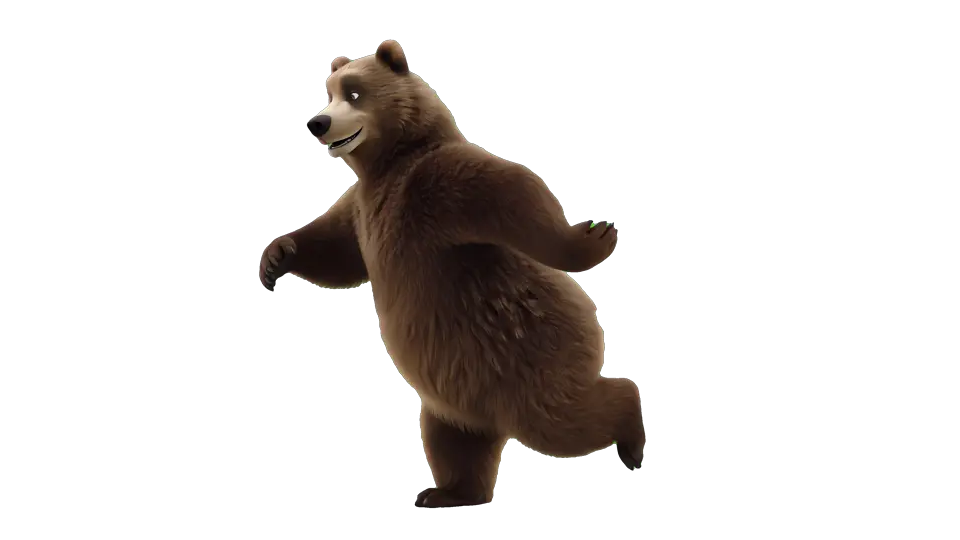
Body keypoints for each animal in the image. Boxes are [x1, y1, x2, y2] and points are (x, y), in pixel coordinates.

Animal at [260, 40, 644, 507]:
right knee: (455, 442)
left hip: (538, 354)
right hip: (456, 385)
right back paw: (446, 493)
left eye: (353, 92)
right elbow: (335, 249)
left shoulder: (436, 187)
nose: (319, 122)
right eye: (328, 92)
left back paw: (630, 435)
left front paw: (594, 235)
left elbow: (515, 193)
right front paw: (276, 256)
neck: (388, 163)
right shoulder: (362, 212)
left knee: (561, 420)